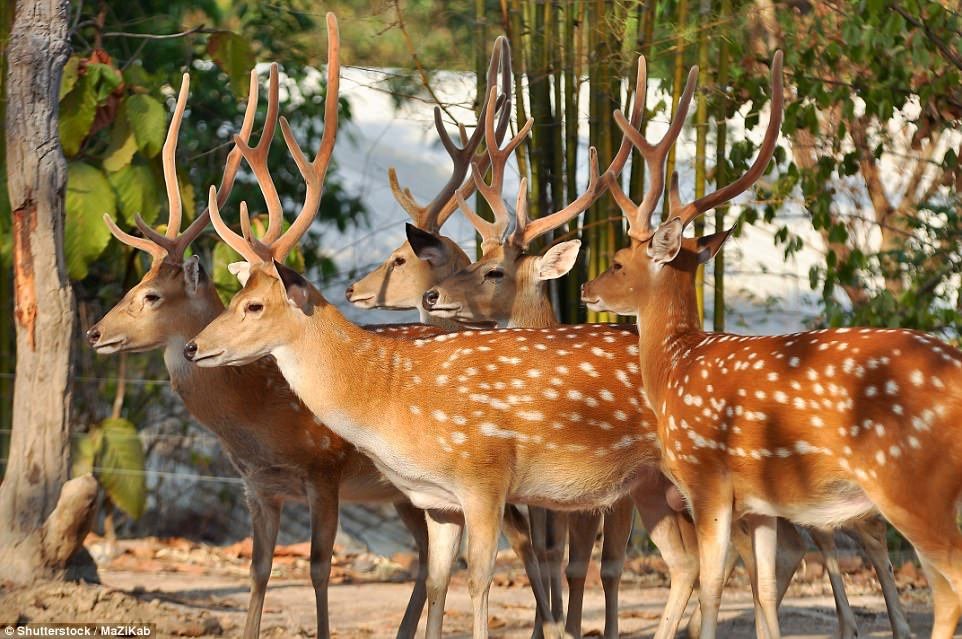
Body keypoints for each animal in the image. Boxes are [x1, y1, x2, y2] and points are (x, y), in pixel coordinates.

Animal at [86, 22, 438, 636]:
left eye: (150, 295)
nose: (93, 333)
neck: (261, 418)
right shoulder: (257, 486)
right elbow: (259, 570)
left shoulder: (324, 470)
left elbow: (319, 569)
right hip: (403, 493)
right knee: (429, 556)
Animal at [576, 51, 936, 639]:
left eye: (619, 262)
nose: (585, 288)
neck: (675, 363)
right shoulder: (761, 502)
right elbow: (764, 588)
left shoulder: (708, 482)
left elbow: (713, 583)